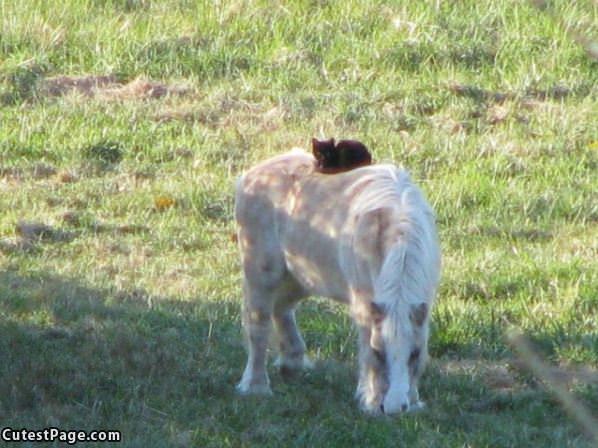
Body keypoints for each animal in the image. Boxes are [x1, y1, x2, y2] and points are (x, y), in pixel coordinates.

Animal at [234, 149, 440, 414]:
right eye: (379, 351)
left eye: (415, 353)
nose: (395, 408)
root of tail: (251, 175)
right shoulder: (364, 304)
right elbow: (366, 349)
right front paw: (372, 402)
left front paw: (413, 401)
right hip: (263, 273)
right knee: (258, 323)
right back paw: (256, 387)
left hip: (300, 277)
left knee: (282, 309)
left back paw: (293, 363)